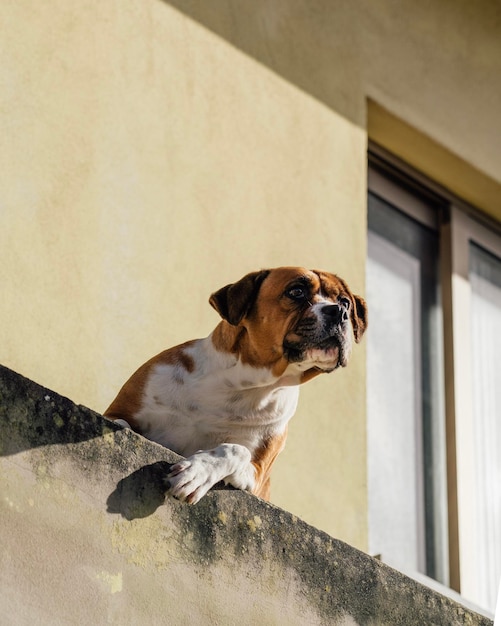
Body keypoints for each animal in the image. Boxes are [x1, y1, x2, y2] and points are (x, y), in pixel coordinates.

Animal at [103, 266, 366, 502]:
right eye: (297, 291)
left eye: (345, 302)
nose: (338, 311)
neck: (241, 383)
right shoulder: (122, 409)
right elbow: (121, 422)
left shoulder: (257, 473)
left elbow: (235, 449)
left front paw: (197, 473)